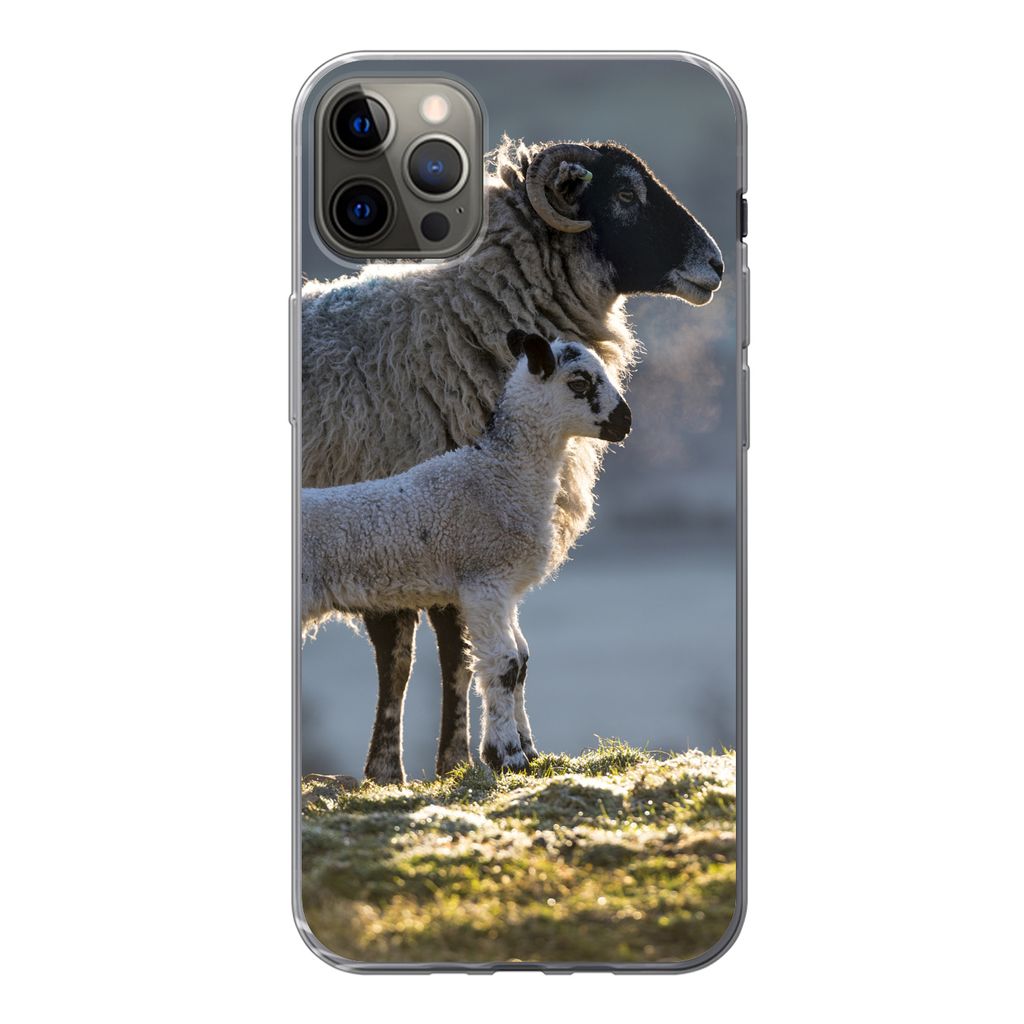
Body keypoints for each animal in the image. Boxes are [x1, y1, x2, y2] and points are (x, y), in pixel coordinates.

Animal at [302, 331, 632, 771]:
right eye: (579, 382)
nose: (626, 422)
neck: (500, 473)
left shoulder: (504, 588)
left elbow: (522, 661)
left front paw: (528, 751)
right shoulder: (482, 579)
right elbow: (503, 663)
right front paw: (507, 756)